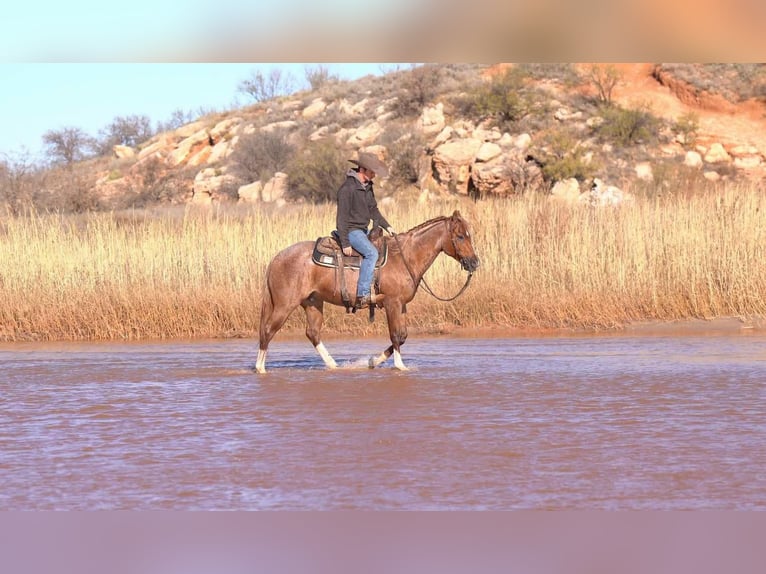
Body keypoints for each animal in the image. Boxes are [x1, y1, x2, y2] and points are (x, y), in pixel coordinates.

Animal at [256, 210, 480, 374]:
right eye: (460, 236)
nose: (474, 263)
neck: (405, 257)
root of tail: (276, 258)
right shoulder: (392, 303)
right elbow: (396, 335)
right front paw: (400, 366)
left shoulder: (402, 305)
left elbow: (403, 336)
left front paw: (373, 361)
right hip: (285, 304)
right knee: (268, 330)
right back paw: (261, 369)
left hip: (312, 302)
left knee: (312, 333)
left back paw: (333, 365)